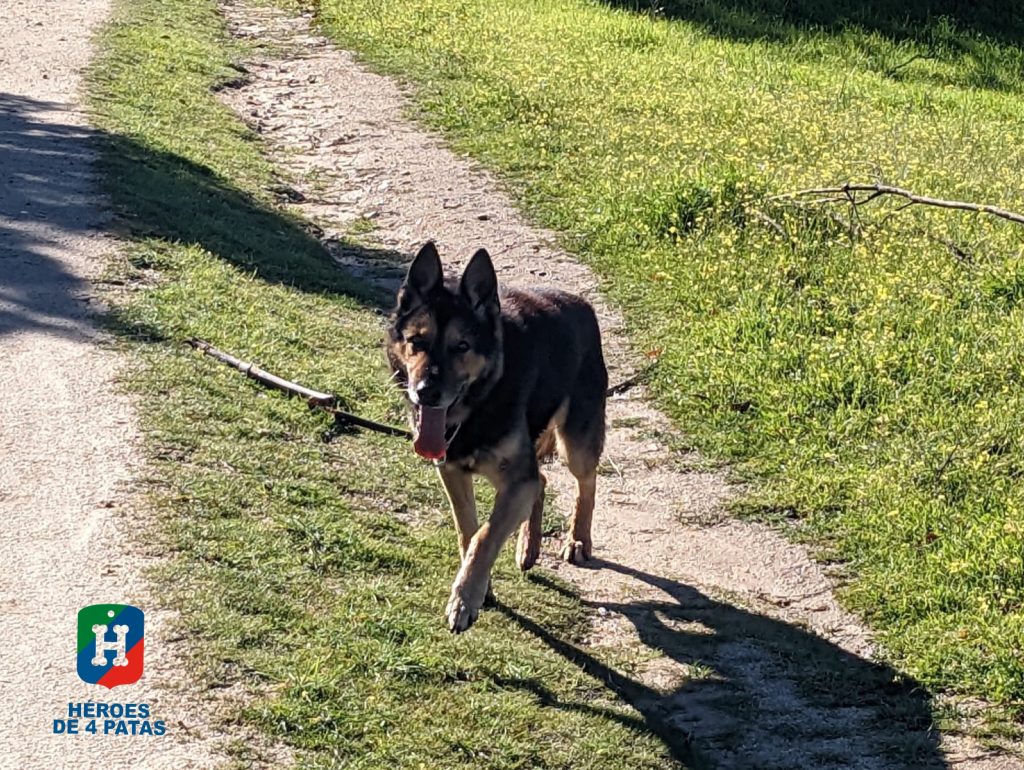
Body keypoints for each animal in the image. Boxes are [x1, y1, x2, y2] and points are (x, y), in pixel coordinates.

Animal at [387, 240, 602, 630]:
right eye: (417, 342)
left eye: (461, 346)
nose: (426, 393)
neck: (479, 404)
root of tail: (579, 302)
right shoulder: (453, 472)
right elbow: (468, 530)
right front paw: (479, 587)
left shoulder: (516, 482)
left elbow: (485, 536)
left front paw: (464, 600)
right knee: (542, 479)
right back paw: (528, 547)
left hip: (575, 444)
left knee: (586, 482)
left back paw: (579, 540)